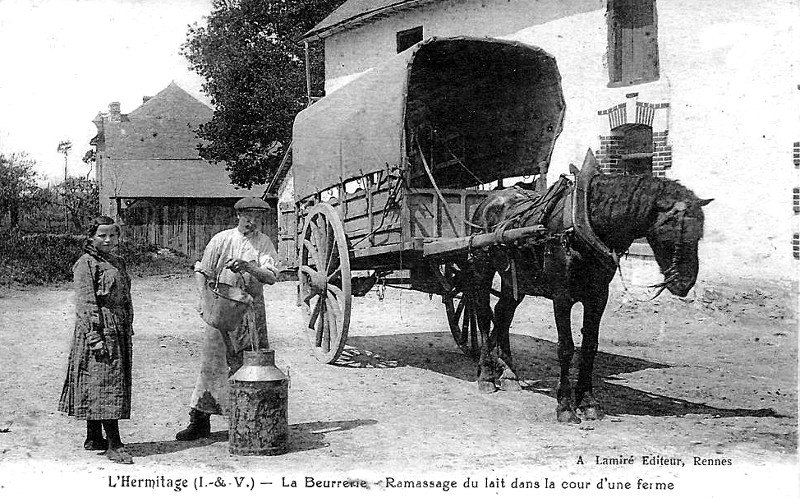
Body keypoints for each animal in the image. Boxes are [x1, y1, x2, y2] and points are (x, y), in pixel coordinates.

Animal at [466, 156, 708, 424]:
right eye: (670, 233)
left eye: (699, 235)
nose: (685, 283)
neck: (581, 226)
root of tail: (489, 200)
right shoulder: (561, 296)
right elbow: (566, 348)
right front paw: (565, 406)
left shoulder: (598, 296)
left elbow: (590, 347)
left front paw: (589, 403)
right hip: (482, 269)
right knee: (483, 315)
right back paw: (486, 376)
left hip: (516, 279)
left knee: (502, 314)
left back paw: (509, 374)